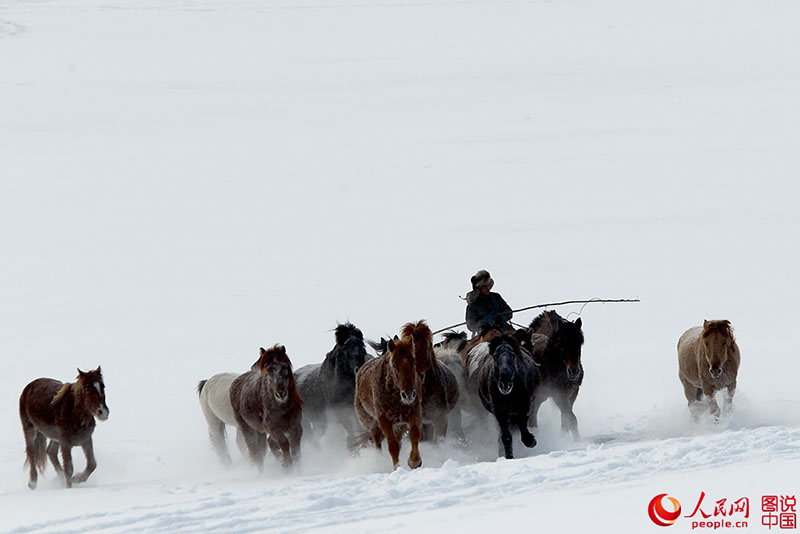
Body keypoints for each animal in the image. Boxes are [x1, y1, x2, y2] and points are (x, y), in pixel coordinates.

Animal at [354, 338, 422, 472]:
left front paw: (414, 462)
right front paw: (397, 468)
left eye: (413, 361)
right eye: (394, 364)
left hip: (398, 425)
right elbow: (393, 446)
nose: (408, 395)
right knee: (377, 442)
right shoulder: (384, 420)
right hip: (372, 423)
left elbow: (414, 435)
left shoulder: (413, 413)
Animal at [524, 312, 588, 442]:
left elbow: (566, 417)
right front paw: (577, 441)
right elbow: (571, 418)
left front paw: (564, 437)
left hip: (541, 396)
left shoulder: (572, 394)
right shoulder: (558, 395)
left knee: (533, 412)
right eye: (562, 344)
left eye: (579, 343)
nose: (574, 371)